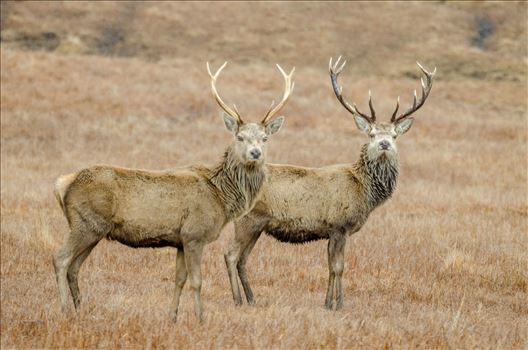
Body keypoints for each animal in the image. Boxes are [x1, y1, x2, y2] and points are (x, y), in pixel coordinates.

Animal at [51, 61, 294, 322]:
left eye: (265, 138)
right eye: (239, 137)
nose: (255, 153)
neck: (221, 197)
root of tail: (63, 183)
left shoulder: (180, 239)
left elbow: (179, 280)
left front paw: (173, 317)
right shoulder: (194, 234)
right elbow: (197, 281)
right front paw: (200, 318)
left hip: (94, 230)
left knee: (74, 266)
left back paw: (80, 308)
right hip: (86, 223)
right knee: (60, 259)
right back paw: (64, 310)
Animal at [225, 56, 436, 310]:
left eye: (395, 135)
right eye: (372, 134)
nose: (384, 144)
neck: (364, 192)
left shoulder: (332, 231)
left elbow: (330, 267)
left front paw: (327, 302)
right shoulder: (339, 225)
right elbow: (339, 267)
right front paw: (339, 304)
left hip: (256, 226)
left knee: (242, 259)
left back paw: (251, 299)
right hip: (247, 221)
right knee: (231, 255)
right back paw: (237, 300)